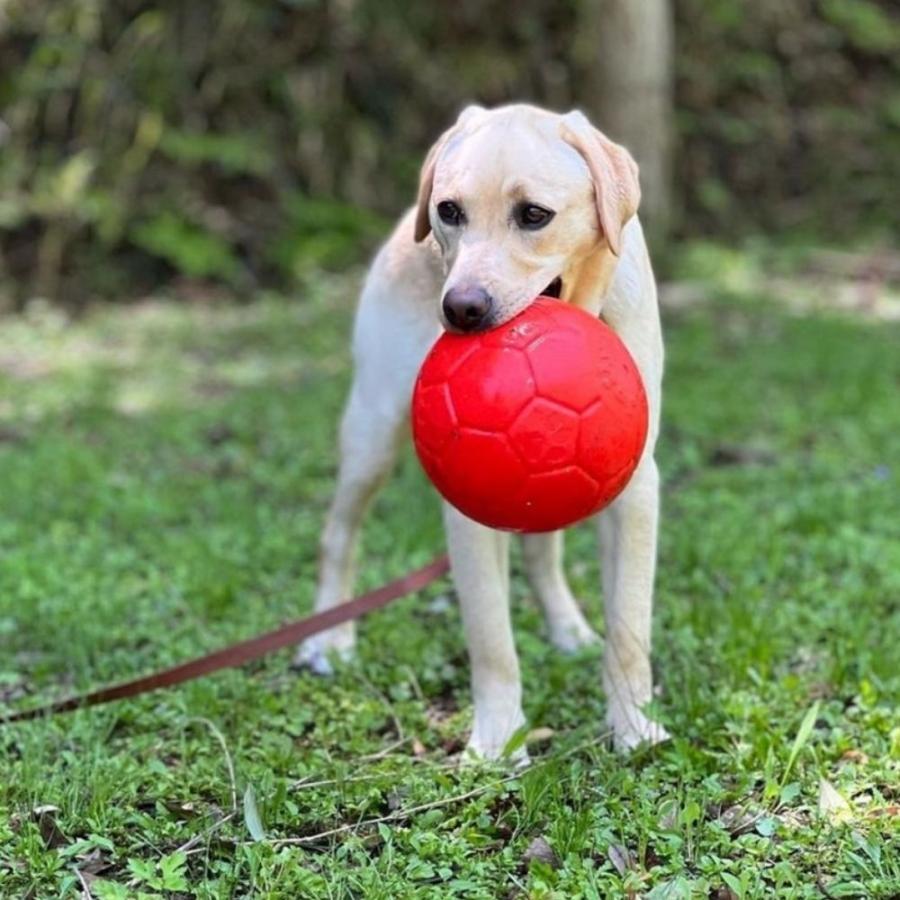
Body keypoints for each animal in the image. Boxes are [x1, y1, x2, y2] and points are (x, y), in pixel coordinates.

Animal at [294, 102, 668, 756]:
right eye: (450, 211)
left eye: (534, 215)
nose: (461, 309)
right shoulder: (467, 503)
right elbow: (492, 639)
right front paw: (498, 741)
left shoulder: (636, 489)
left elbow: (629, 627)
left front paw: (633, 727)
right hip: (372, 432)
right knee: (337, 534)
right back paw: (328, 641)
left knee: (542, 553)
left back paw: (567, 629)